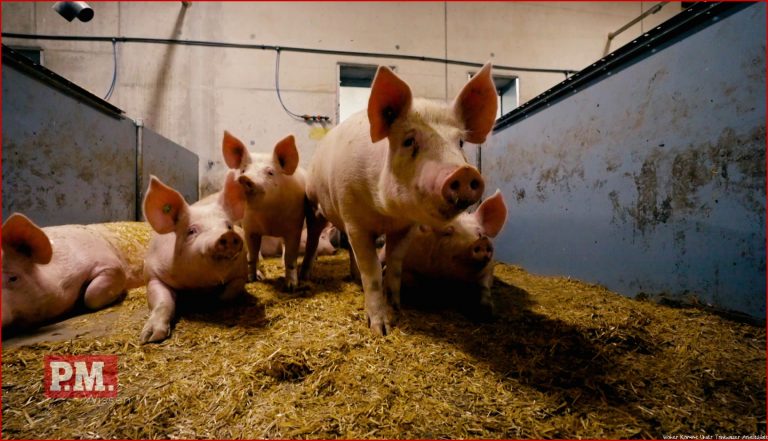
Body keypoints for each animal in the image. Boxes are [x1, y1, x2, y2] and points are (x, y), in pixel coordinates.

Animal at [139, 170, 246, 342]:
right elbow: (163, 302)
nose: (228, 235)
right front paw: (149, 338)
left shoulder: (240, 274)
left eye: (228, 226)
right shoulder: (152, 274)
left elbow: (229, 294)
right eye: (191, 231)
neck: (199, 283)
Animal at [219, 131, 306, 288]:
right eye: (243, 170)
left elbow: (291, 257)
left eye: (270, 172)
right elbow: (252, 255)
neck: (268, 214)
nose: (244, 178)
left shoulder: (294, 227)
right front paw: (251, 279)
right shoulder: (249, 228)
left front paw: (291, 286)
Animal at [300, 63, 498, 336]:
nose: (465, 172)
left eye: (460, 142)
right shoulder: (356, 220)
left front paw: (396, 307)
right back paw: (305, 278)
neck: (387, 213)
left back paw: (353, 278)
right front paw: (380, 329)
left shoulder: (405, 227)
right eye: (409, 141)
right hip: (314, 205)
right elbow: (373, 271)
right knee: (312, 240)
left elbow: (394, 265)